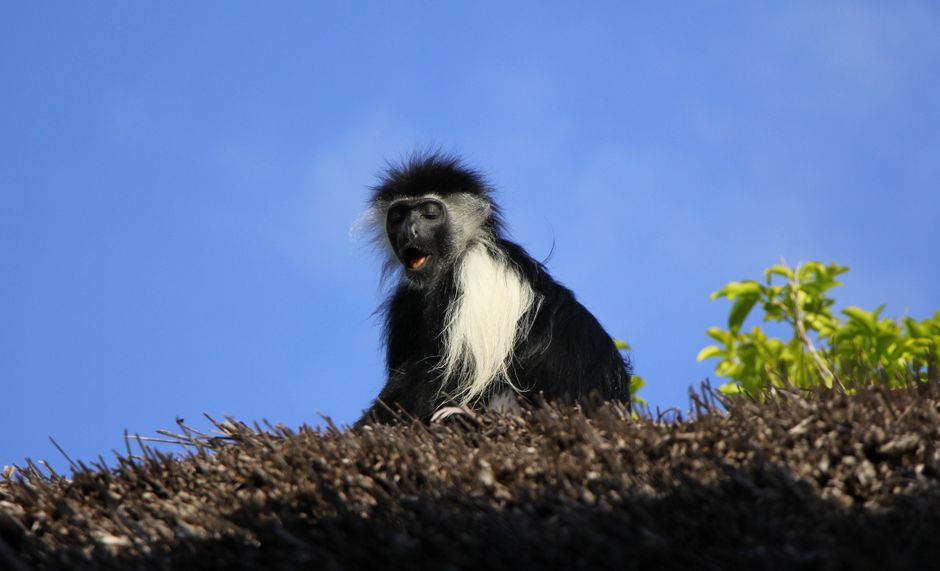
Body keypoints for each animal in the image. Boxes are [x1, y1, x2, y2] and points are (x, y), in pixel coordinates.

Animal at [357, 153, 631, 425]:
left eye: (430, 213)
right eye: (397, 217)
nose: (409, 231)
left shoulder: (476, 271)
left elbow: (448, 375)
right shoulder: (406, 300)